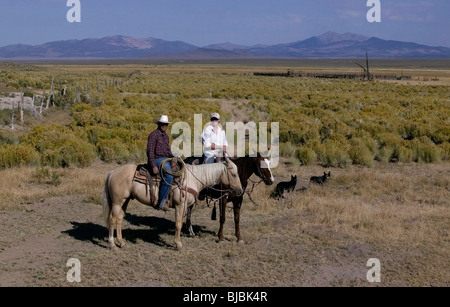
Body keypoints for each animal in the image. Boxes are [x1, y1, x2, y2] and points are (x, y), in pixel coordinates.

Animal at [102, 156, 243, 250]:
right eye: (234, 174)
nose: (240, 191)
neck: (191, 179)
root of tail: (112, 172)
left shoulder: (184, 207)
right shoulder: (180, 205)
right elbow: (179, 224)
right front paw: (178, 244)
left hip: (125, 200)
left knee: (119, 219)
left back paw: (121, 242)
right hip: (117, 202)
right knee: (112, 219)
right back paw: (112, 244)